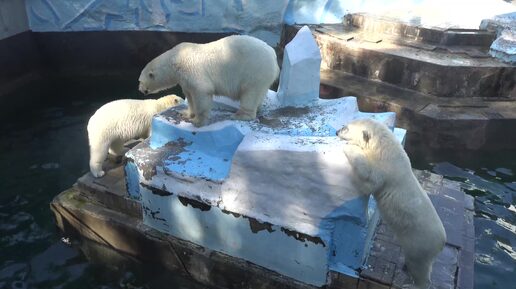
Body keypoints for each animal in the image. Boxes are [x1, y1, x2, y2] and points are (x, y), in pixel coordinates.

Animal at [138, 34, 278, 126]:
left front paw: (197, 121)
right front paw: (186, 113)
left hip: (254, 70)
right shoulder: (184, 79)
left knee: (250, 93)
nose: (140, 90)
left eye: (140, 81)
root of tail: (273, 55)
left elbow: (201, 91)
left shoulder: (192, 69)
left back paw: (240, 115)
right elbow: (190, 95)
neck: (175, 59)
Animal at [336, 117, 446, 288]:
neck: (385, 149)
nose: (336, 132)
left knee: (420, 269)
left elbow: (371, 178)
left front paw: (349, 147)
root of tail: (442, 242)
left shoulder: (386, 169)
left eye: (346, 128)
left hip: (420, 244)